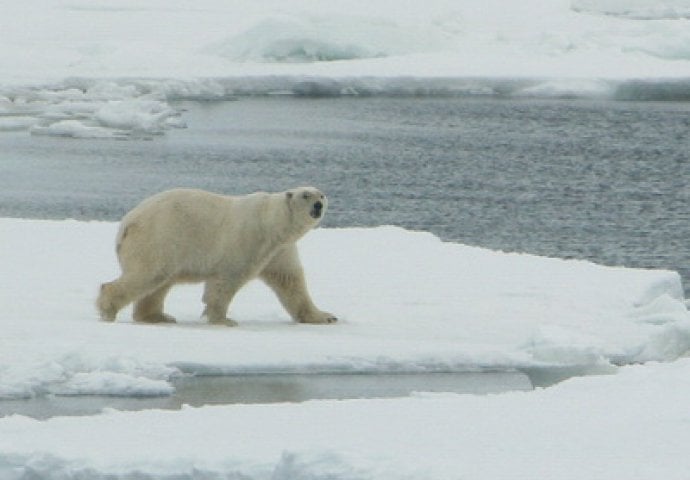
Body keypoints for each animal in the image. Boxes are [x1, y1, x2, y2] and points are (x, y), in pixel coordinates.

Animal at [94, 187, 336, 326]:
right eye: (305, 195)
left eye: (321, 194)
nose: (318, 205)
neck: (271, 223)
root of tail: (126, 223)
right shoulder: (247, 240)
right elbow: (226, 281)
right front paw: (224, 319)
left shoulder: (280, 250)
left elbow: (291, 281)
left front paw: (325, 316)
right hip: (159, 239)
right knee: (147, 275)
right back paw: (107, 310)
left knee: (159, 283)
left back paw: (157, 317)